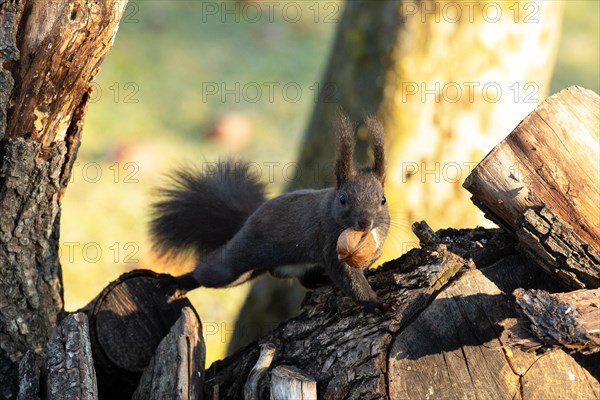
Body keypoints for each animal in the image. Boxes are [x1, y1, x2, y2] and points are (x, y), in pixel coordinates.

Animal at [151, 114, 390, 310]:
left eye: (383, 200)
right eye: (343, 200)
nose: (365, 222)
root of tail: (246, 220)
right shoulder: (329, 240)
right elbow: (348, 277)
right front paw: (375, 303)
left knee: (306, 280)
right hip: (238, 259)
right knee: (211, 271)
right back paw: (178, 281)